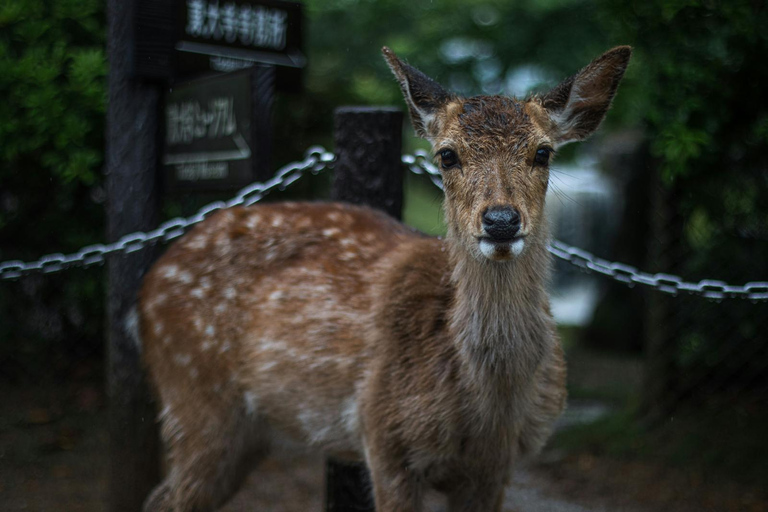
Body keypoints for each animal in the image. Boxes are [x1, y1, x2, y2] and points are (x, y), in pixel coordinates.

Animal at [138, 46, 632, 510]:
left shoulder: (497, 467)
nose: (501, 221)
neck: (488, 408)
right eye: (447, 155)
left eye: (543, 152)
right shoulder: (383, 438)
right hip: (194, 395)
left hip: (244, 432)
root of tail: (149, 284)